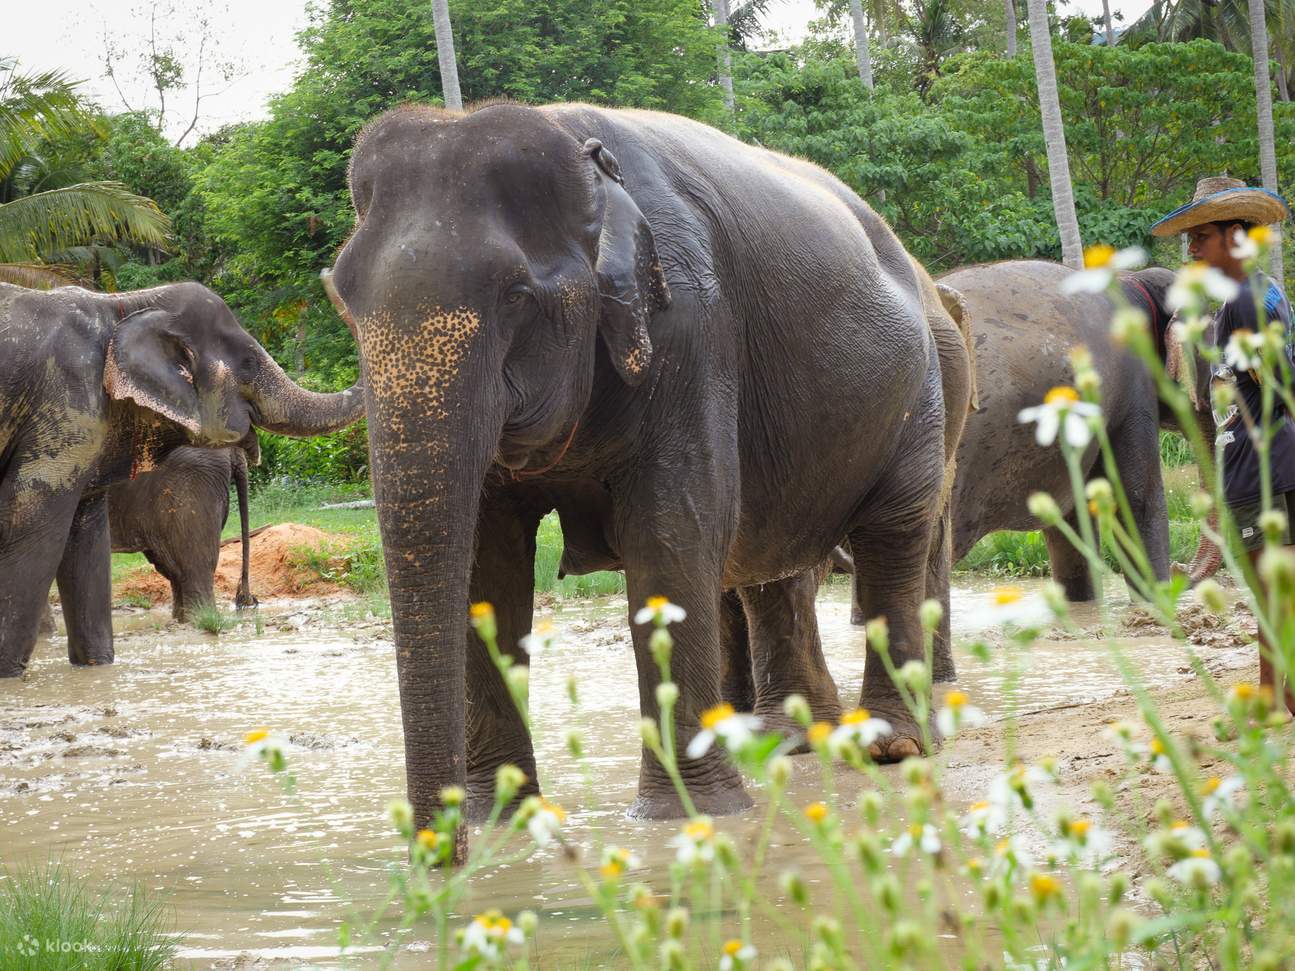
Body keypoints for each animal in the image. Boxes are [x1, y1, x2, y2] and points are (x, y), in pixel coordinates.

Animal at [0, 281, 364, 676]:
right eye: (249, 363)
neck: (124, 305)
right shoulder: (68, 413)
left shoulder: (67, 419)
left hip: (190, 485)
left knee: (189, 566)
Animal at [326, 101, 972, 840]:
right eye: (342, 300)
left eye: (516, 295)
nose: (439, 853)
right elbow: (488, 566)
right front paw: (505, 822)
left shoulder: (690, 328)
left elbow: (670, 535)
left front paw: (689, 813)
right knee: (771, 559)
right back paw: (789, 740)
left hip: (924, 392)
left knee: (894, 536)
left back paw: (891, 745)